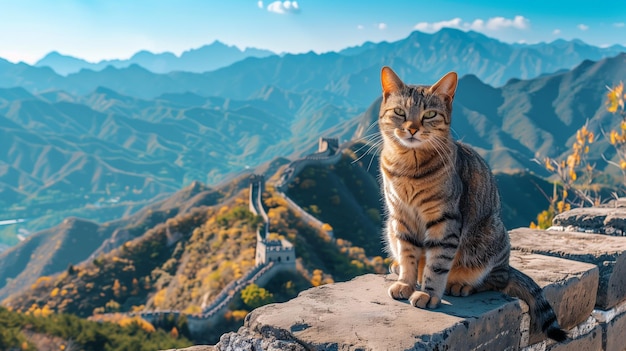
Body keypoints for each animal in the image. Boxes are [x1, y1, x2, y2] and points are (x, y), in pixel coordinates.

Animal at [376, 66, 564, 344]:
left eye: (429, 115)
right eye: (400, 112)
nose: (411, 129)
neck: (407, 166)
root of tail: (508, 265)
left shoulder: (445, 220)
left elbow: (437, 264)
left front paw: (429, 294)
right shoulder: (401, 217)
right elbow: (409, 254)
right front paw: (406, 282)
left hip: (490, 237)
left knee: (497, 279)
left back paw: (462, 285)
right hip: (389, 226)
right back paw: (398, 266)